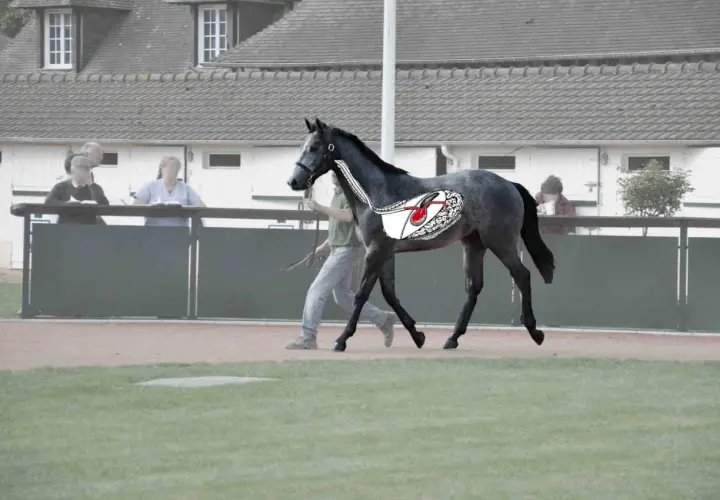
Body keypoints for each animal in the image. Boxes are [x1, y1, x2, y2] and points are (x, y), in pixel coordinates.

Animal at [288, 118, 555, 352]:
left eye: (314, 147)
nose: (293, 181)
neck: (376, 194)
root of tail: (509, 184)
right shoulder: (385, 252)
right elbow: (389, 293)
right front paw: (417, 335)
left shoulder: (376, 251)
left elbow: (362, 294)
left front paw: (341, 340)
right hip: (473, 245)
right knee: (474, 287)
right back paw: (452, 338)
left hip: (501, 242)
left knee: (522, 276)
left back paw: (535, 332)